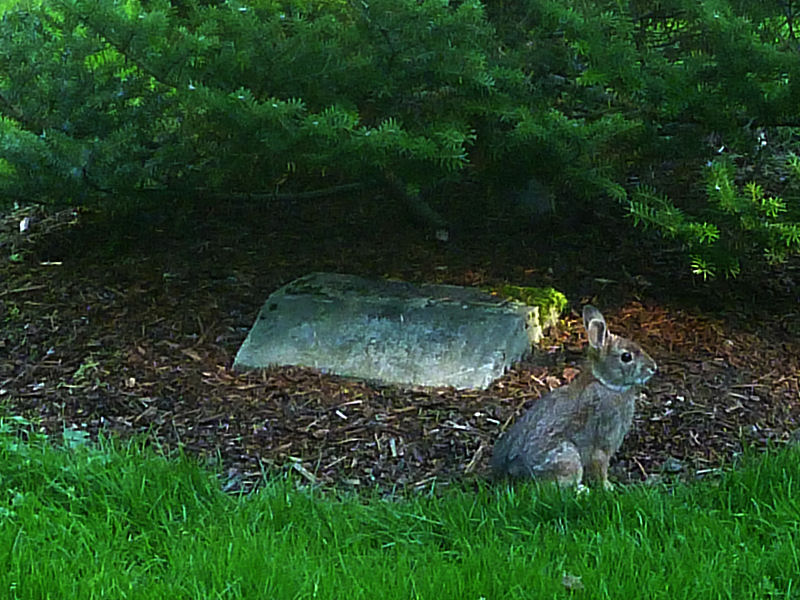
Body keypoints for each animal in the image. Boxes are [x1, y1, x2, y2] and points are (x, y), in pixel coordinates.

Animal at [494, 304, 656, 488]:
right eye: (626, 357)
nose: (653, 368)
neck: (605, 383)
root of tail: (514, 472)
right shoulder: (603, 442)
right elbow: (601, 465)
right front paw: (608, 487)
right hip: (567, 457)